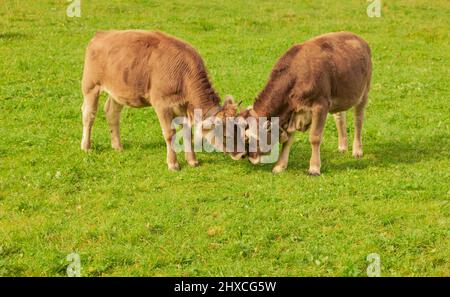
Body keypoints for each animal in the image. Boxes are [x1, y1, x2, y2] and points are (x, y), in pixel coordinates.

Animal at [81, 30, 237, 170]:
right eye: (225, 134)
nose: (239, 155)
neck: (184, 74)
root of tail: (102, 34)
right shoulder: (162, 105)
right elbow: (169, 133)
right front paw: (173, 164)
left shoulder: (183, 106)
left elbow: (187, 132)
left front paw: (192, 161)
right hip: (90, 86)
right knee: (89, 115)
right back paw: (86, 147)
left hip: (118, 92)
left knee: (112, 113)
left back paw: (117, 146)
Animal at [239, 31, 372, 175]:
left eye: (248, 139)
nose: (249, 159)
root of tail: (358, 37)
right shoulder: (293, 111)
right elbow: (288, 140)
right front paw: (280, 166)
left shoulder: (320, 105)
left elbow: (315, 137)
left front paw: (314, 168)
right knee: (339, 116)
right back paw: (342, 146)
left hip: (364, 92)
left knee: (358, 120)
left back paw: (357, 150)